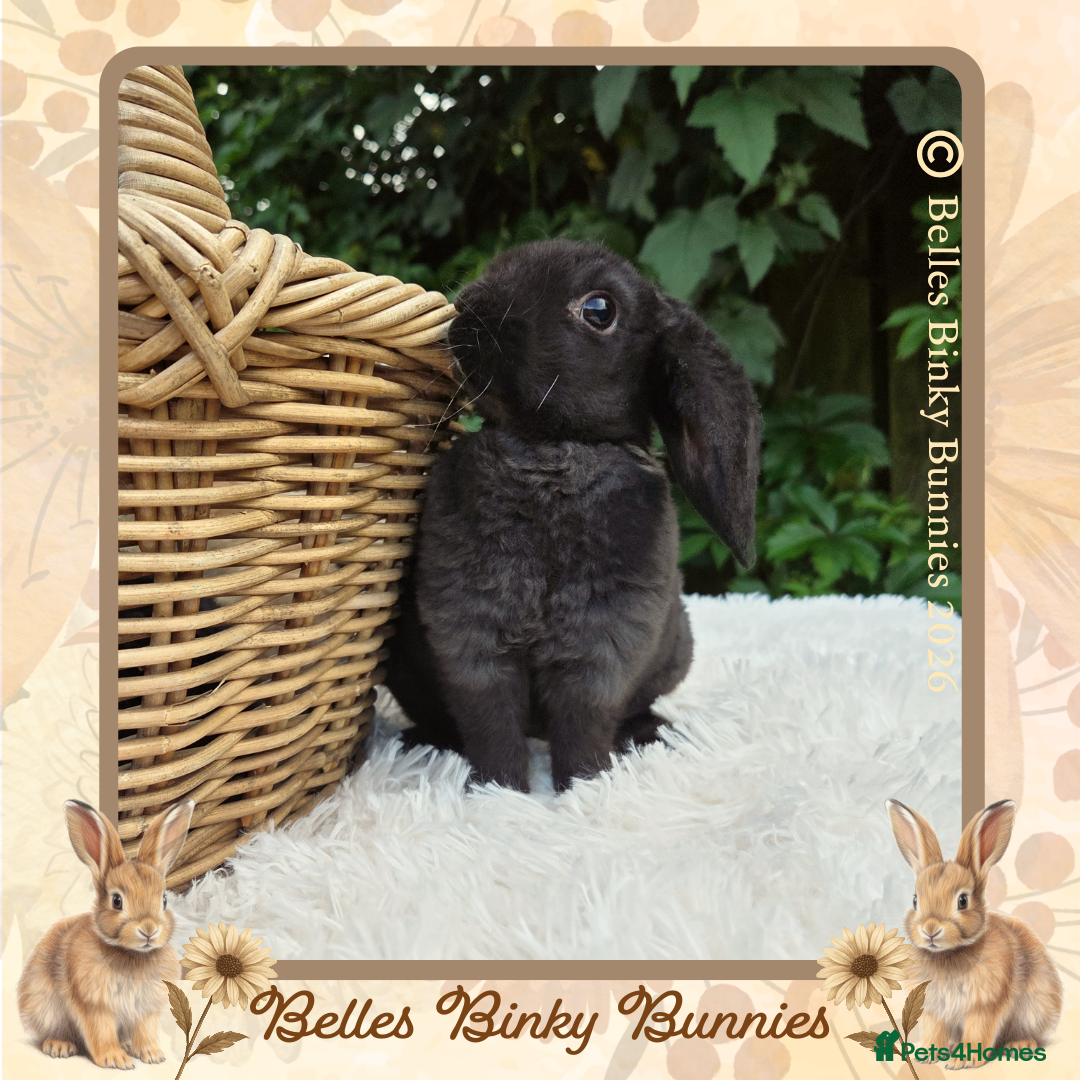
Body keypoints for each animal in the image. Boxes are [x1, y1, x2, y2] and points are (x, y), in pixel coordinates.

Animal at [17, 798, 195, 1069]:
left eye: (164, 900)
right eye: (117, 901)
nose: (149, 930)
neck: (131, 954)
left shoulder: (145, 1010)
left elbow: (145, 1031)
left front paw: (153, 1055)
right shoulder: (95, 1005)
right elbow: (101, 1031)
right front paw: (116, 1060)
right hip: (46, 1008)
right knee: (53, 1032)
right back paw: (59, 1046)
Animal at [384, 238, 760, 793]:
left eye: (599, 310)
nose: (468, 312)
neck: (550, 449)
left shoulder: (602, 645)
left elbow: (584, 720)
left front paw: (585, 787)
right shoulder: (471, 635)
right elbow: (489, 720)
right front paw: (498, 790)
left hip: (675, 652)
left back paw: (653, 733)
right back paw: (421, 742)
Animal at [885, 798, 1063, 1067]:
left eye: (962, 901)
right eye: (915, 900)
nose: (930, 930)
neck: (949, 954)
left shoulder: (984, 1005)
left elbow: (978, 1031)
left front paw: (963, 1061)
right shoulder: (935, 1009)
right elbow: (934, 1031)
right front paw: (926, 1055)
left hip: (1034, 1008)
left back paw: (1019, 1045)